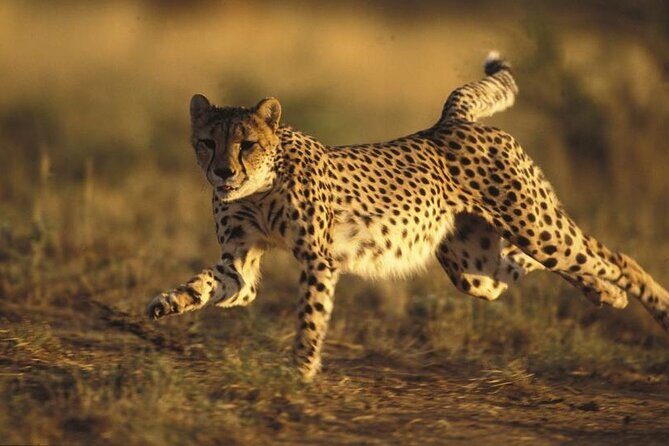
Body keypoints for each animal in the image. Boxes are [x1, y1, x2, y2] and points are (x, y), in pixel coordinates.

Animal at [147, 52, 669, 381]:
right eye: (207, 142)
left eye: (247, 144)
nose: (222, 171)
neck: (258, 188)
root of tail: (449, 121)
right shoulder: (241, 264)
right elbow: (208, 284)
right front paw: (166, 303)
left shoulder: (318, 259)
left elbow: (310, 317)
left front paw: (300, 371)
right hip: (475, 268)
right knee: (530, 266)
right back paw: (605, 294)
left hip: (535, 225)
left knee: (610, 257)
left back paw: (642, 302)